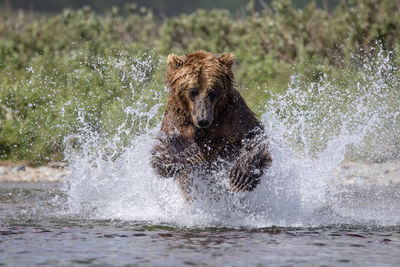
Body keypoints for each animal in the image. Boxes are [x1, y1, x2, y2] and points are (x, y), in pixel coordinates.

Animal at [151, 51, 272, 199]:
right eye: (192, 91)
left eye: (212, 92)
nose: (203, 119)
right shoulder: (176, 117)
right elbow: (160, 156)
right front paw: (191, 153)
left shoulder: (233, 114)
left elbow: (255, 135)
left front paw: (241, 176)